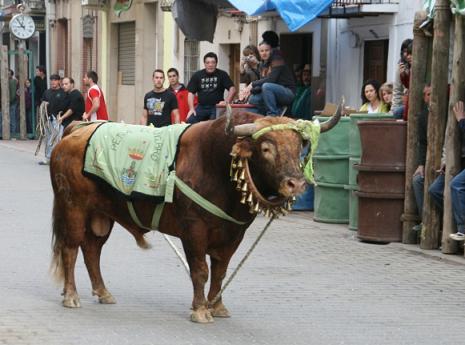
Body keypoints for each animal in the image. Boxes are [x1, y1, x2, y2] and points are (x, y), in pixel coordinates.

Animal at [49, 108, 340, 322]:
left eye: (299, 147)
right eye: (266, 148)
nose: (296, 184)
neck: (218, 165)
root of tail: (75, 132)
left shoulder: (233, 235)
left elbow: (220, 272)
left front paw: (217, 306)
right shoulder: (194, 230)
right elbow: (200, 270)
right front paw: (200, 309)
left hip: (101, 215)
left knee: (92, 250)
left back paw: (103, 291)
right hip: (73, 208)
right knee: (71, 248)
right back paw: (71, 296)